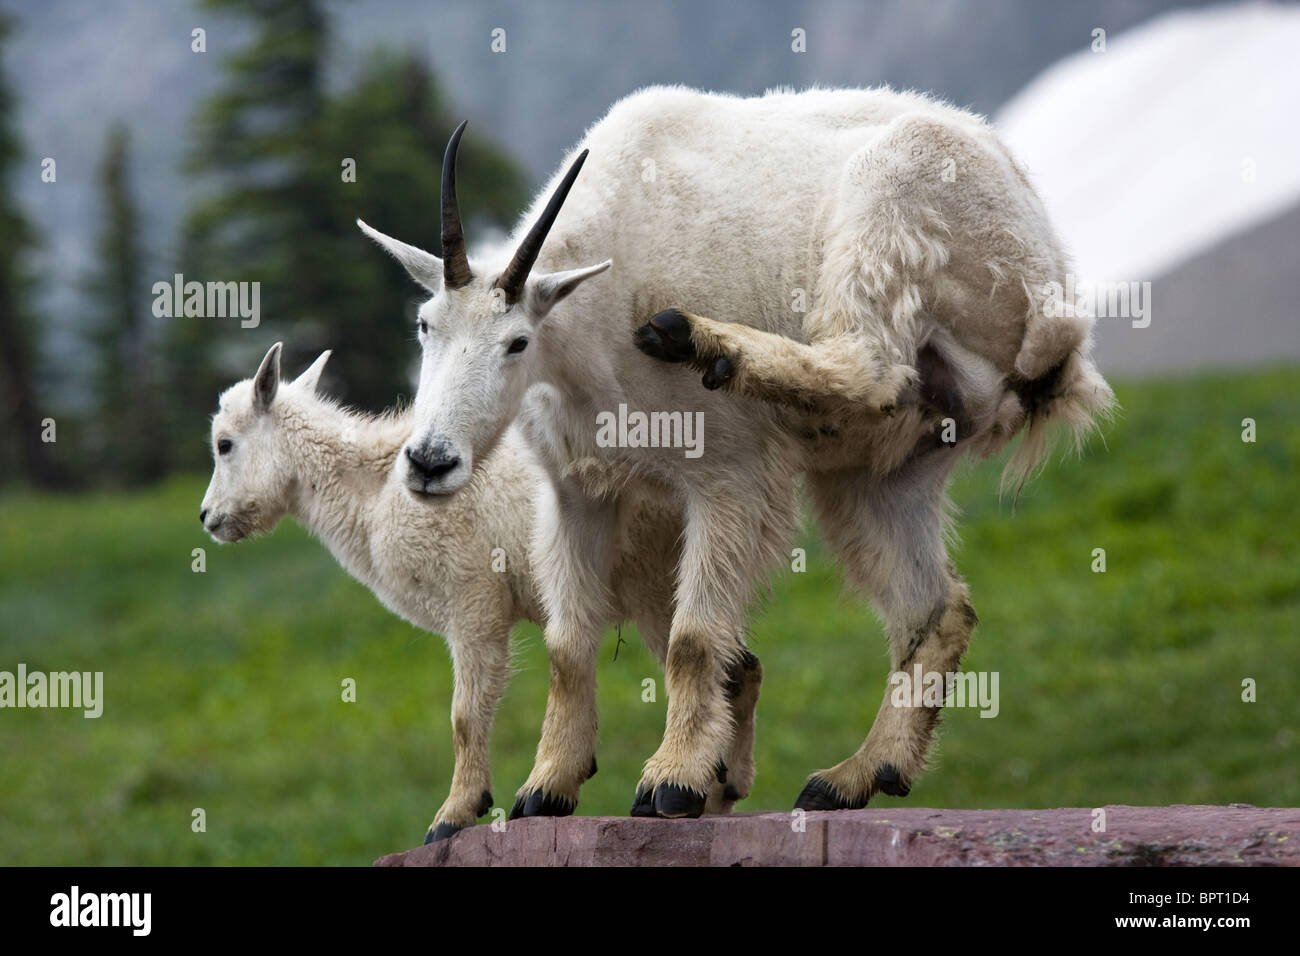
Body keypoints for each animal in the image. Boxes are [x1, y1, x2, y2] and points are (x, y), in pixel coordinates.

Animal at [198, 343, 762, 840]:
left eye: (225, 444)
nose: (207, 518)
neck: (374, 490)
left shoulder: (472, 599)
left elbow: (464, 717)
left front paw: (452, 816)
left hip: (658, 571)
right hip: (659, 580)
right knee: (738, 667)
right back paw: (719, 789)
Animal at [357, 86, 1114, 818]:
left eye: (516, 342)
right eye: (424, 324)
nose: (429, 462)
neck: (591, 318)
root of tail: (1055, 292)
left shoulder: (728, 475)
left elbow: (693, 638)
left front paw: (672, 782)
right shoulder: (578, 494)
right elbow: (567, 645)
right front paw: (546, 788)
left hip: (894, 204)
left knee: (868, 363)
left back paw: (696, 338)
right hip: (885, 468)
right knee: (934, 607)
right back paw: (856, 776)